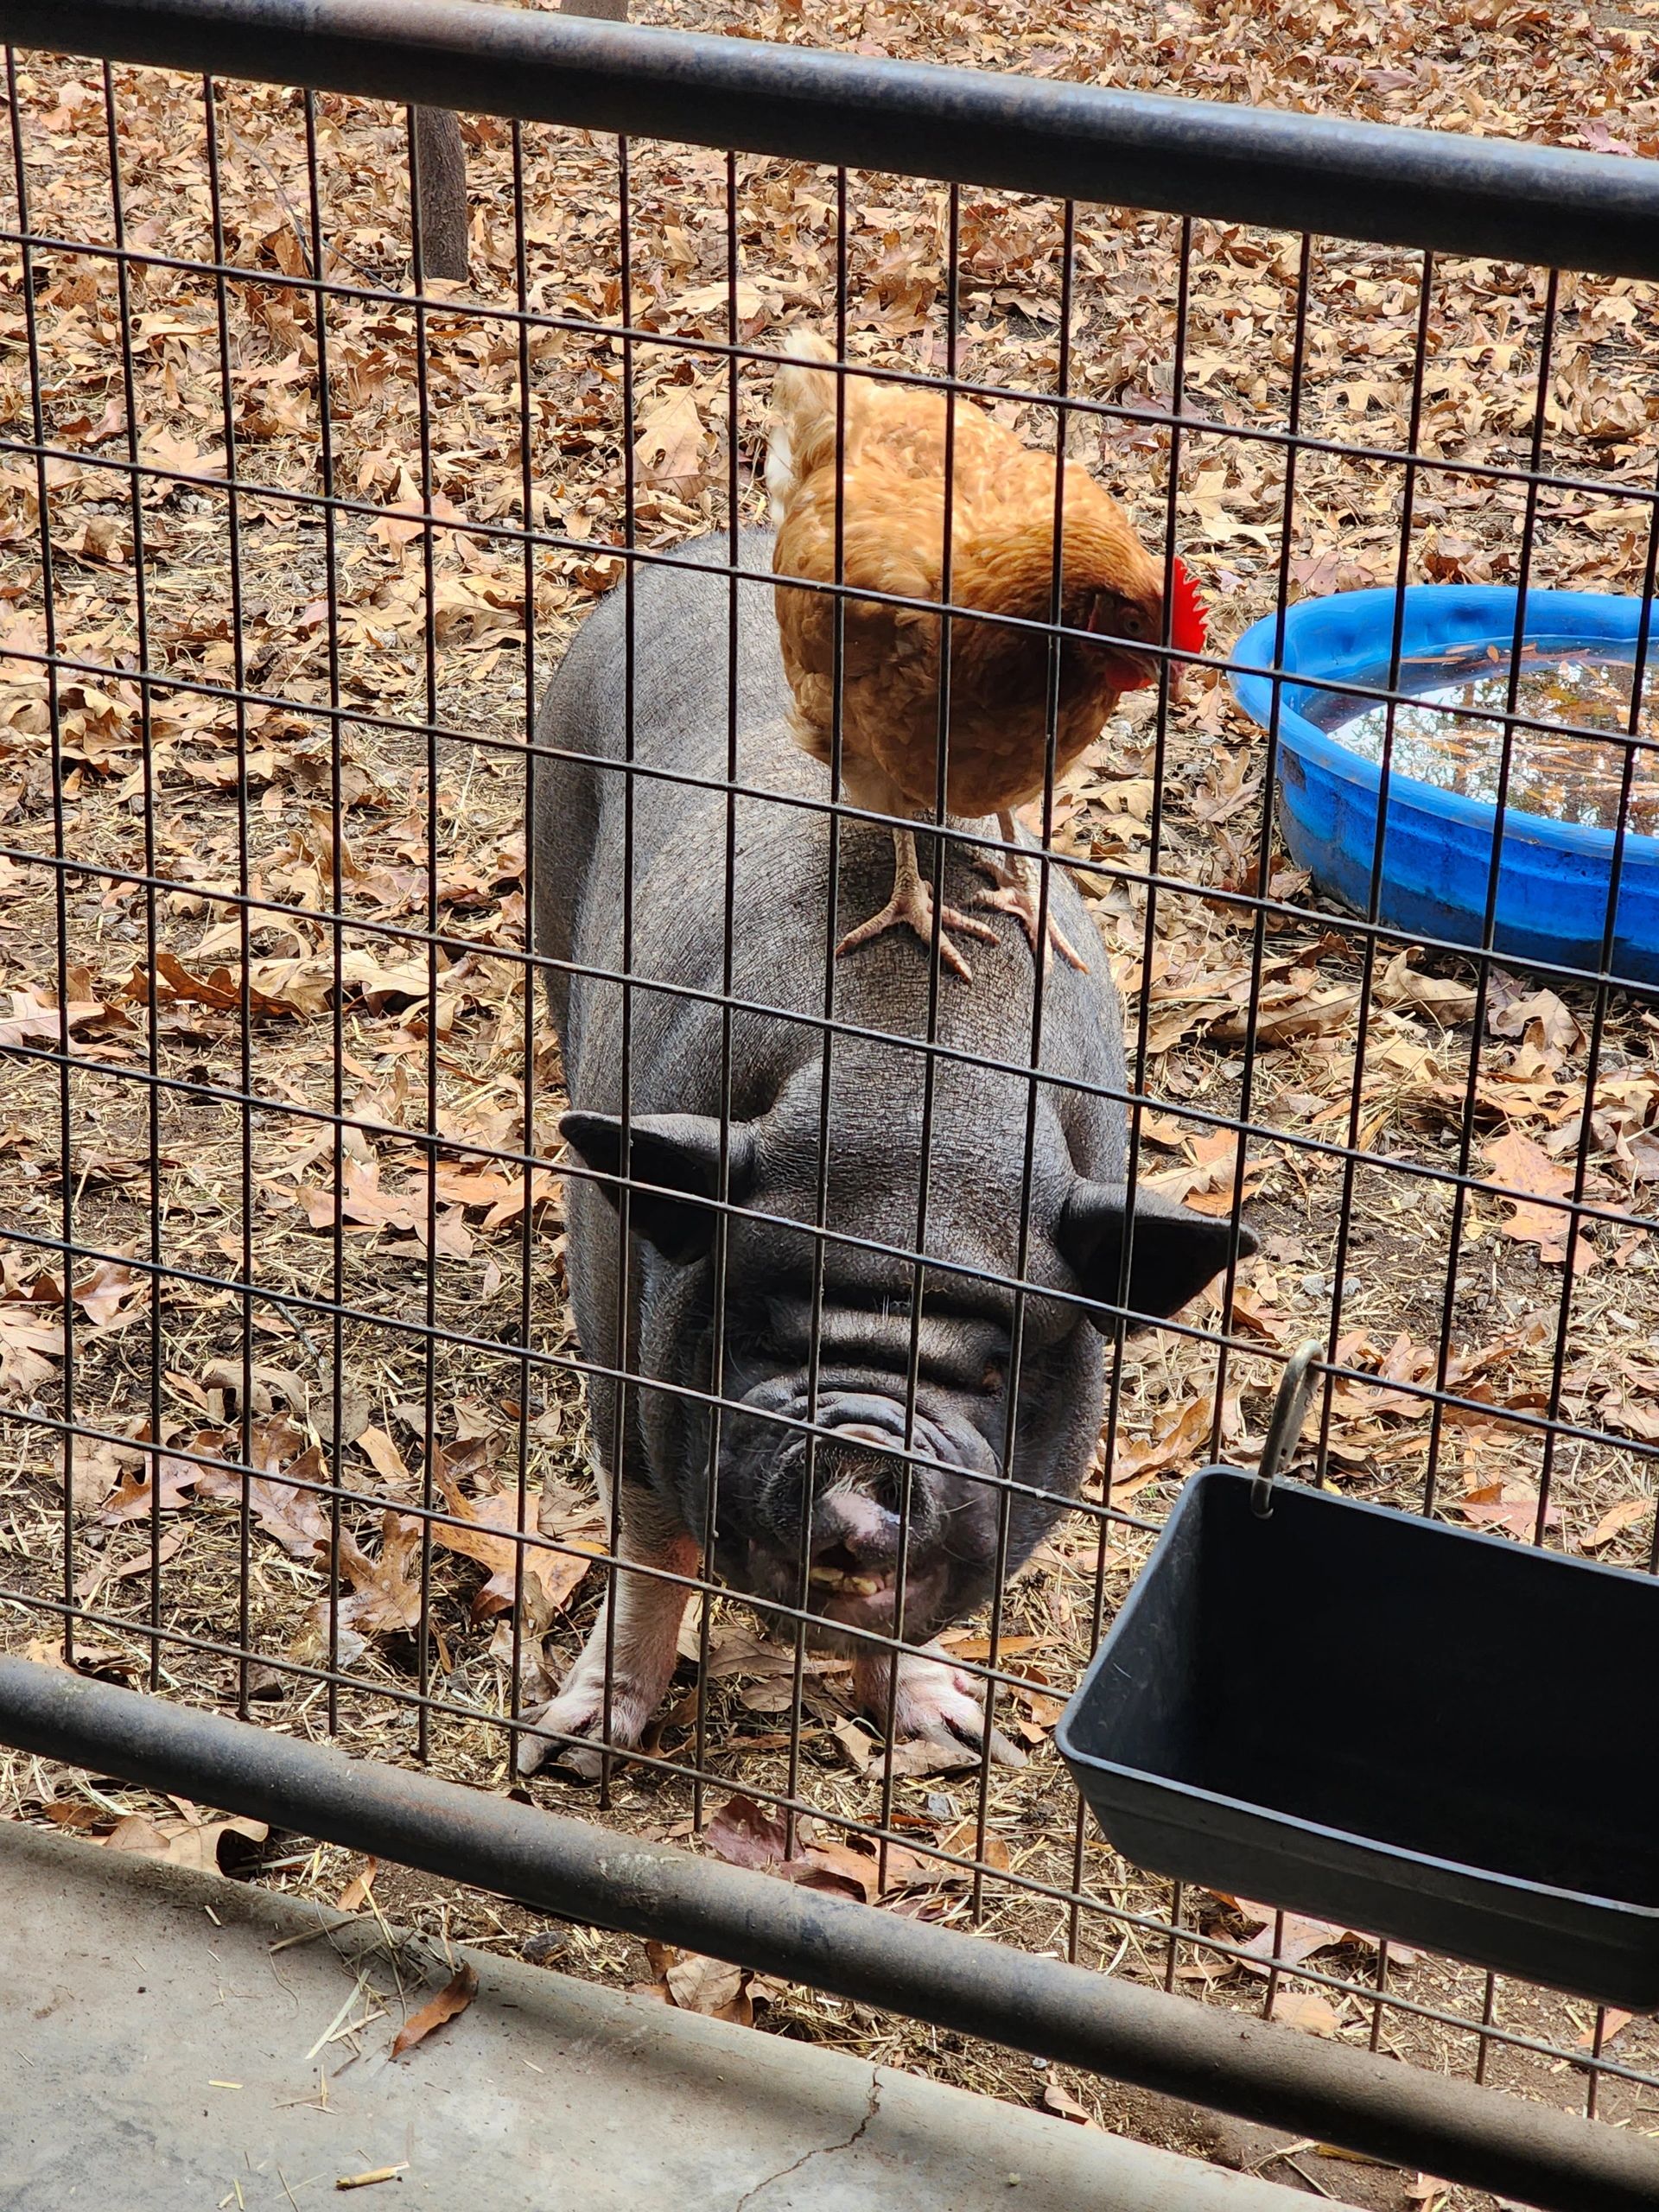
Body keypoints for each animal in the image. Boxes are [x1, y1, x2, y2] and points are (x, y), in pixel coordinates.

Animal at [519, 532, 1250, 1776]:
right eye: (758, 1328)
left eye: (1000, 1372)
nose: (863, 1460)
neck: (911, 1135)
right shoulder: (616, 1325)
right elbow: (651, 1542)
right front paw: (571, 1752)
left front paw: (956, 1734)